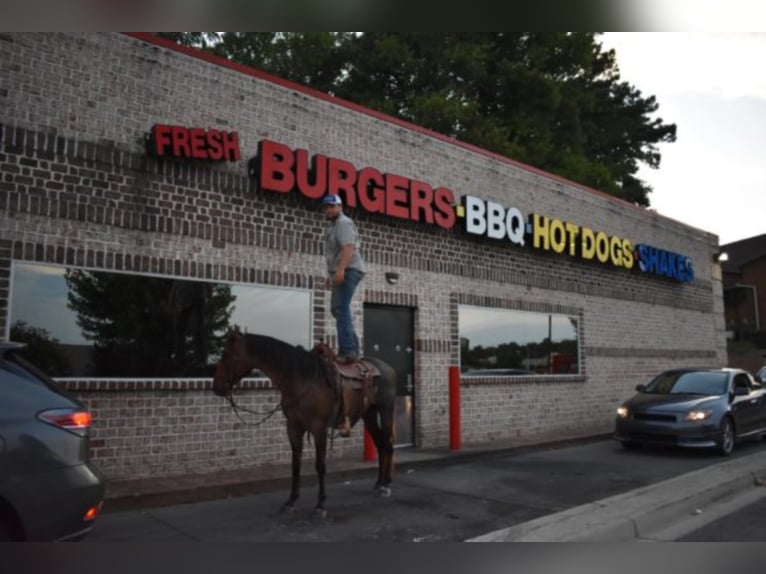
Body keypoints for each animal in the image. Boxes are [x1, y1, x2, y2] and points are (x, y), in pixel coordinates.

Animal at [213, 326, 400, 520]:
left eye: (228, 355)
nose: (216, 386)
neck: (301, 381)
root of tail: (388, 368)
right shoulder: (293, 428)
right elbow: (295, 464)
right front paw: (291, 501)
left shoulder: (319, 429)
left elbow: (320, 465)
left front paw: (320, 505)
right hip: (369, 414)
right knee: (380, 445)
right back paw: (379, 483)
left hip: (385, 409)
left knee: (388, 444)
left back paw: (386, 485)